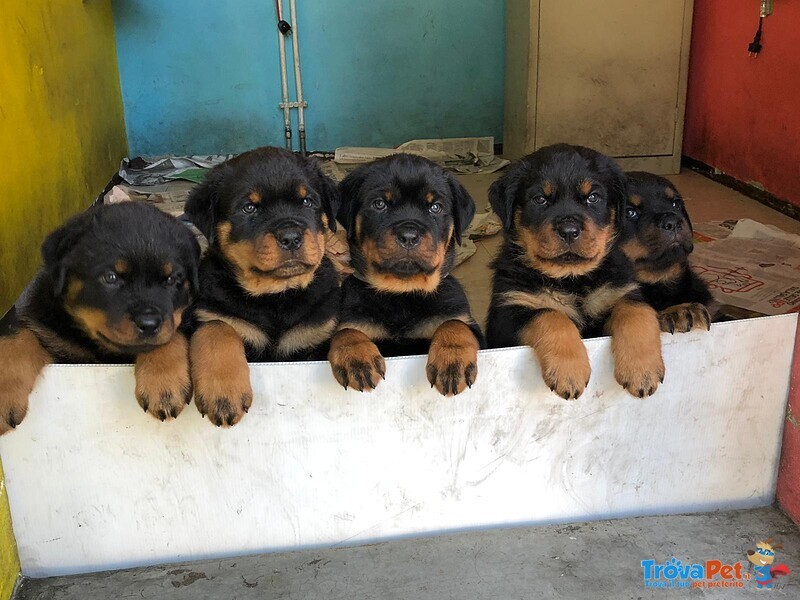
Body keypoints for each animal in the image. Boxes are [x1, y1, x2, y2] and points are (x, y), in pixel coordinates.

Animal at [0, 202, 200, 432]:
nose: (149, 324)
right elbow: (17, 337)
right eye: (110, 277)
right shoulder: (47, 331)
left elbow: (170, 335)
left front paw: (164, 383)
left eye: (172, 279)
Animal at [183, 145, 340, 426]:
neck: (275, 297)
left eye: (307, 202)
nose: (291, 237)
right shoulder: (208, 313)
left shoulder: (316, 334)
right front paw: (223, 394)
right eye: (248, 208)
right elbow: (217, 328)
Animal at [328, 155, 484, 396]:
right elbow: (344, 332)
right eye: (379, 204)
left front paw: (452, 360)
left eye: (435, 207)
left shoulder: (467, 323)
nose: (409, 236)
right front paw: (355, 358)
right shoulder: (353, 320)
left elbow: (454, 324)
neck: (402, 292)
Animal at [488, 143, 664, 400]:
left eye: (593, 197)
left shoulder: (619, 291)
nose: (569, 231)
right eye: (540, 199)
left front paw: (642, 371)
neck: (571, 279)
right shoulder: (510, 312)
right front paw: (569, 372)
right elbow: (552, 316)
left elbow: (636, 312)